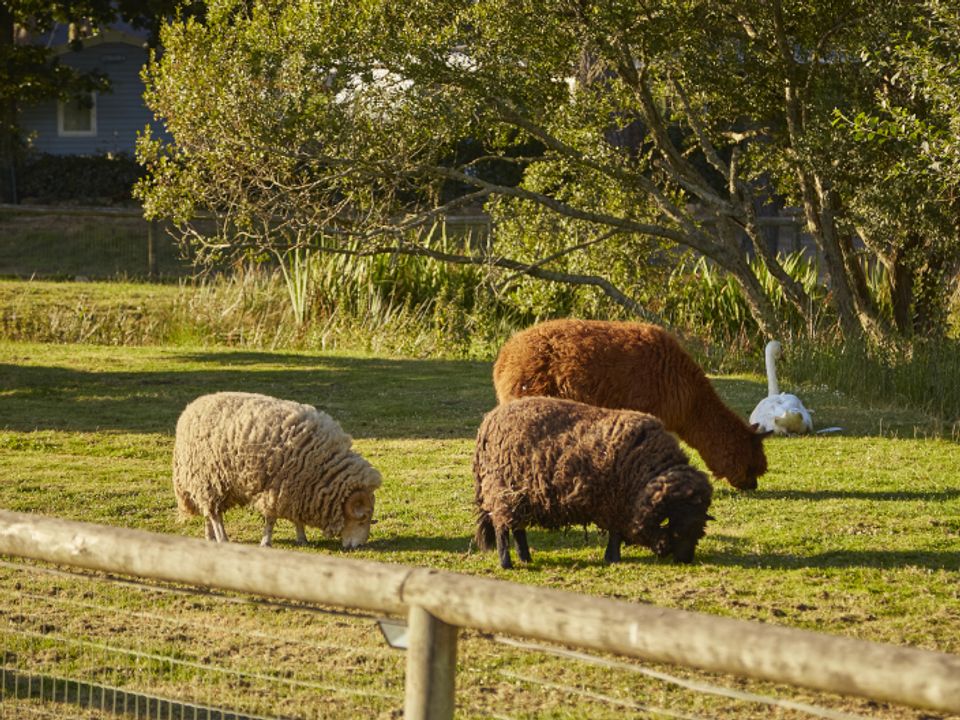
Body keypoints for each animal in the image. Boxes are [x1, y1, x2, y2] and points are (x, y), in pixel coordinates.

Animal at [172, 390, 382, 548]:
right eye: (362, 518)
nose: (359, 546)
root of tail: (192, 407)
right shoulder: (278, 487)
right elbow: (271, 518)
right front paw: (266, 542)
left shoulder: (297, 489)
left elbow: (296, 516)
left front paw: (302, 538)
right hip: (208, 478)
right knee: (214, 514)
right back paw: (222, 538)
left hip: (205, 481)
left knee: (208, 512)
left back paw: (209, 537)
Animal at [472, 394, 712, 568]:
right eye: (679, 526)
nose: (685, 560)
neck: (648, 470)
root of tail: (488, 421)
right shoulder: (616, 504)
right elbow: (615, 534)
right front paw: (613, 558)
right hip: (503, 489)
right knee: (502, 527)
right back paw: (507, 563)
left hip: (522, 495)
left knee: (517, 528)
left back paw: (526, 558)